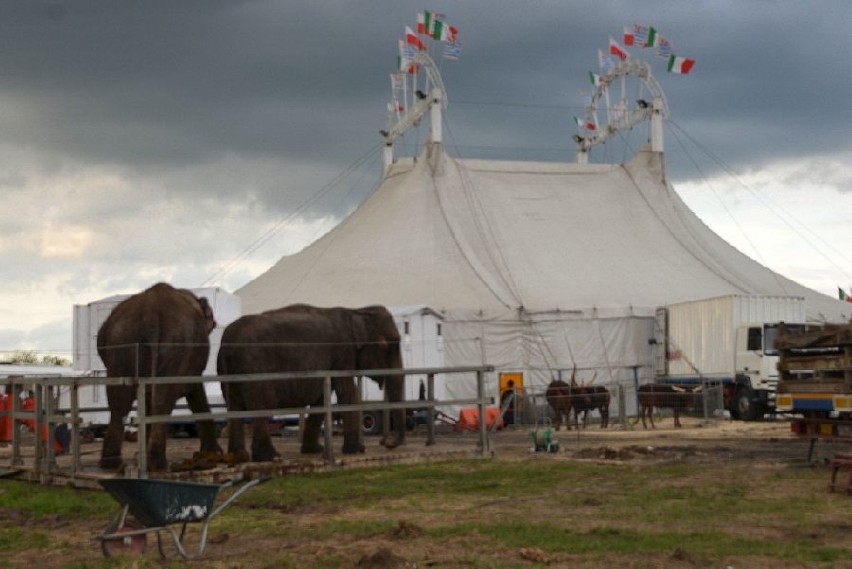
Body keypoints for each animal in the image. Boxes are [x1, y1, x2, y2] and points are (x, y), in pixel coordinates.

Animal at [96, 280, 223, 470]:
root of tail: (151, 313)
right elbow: (195, 390)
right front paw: (214, 454)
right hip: (175, 346)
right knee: (162, 400)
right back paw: (157, 463)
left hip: (122, 344)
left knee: (120, 401)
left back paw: (111, 464)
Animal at [218, 302, 408, 462]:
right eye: (388, 346)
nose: (386, 441)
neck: (356, 310)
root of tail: (228, 343)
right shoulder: (342, 352)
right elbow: (346, 392)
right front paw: (356, 450)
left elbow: (321, 398)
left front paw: (315, 450)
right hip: (255, 369)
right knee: (264, 405)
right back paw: (269, 456)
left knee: (234, 406)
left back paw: (238, 456)